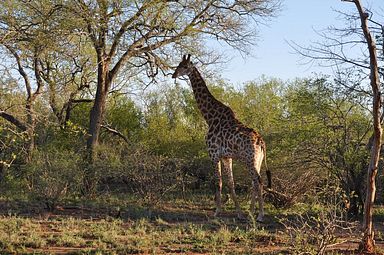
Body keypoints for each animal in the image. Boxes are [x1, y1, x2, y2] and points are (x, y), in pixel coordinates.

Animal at [172, 54, 272, 222]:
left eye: (184, 66)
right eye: (178, 64)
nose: (173, 74)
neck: (209, 117)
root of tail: (261, 141)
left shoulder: (213, 154)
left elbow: (217, 182)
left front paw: (217, 212)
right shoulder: (226, 157)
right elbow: (231, 183)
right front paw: (239, 213)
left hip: (249, 159)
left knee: (258, 181)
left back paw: (260, 215)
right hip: (257, 160)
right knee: (254, 182)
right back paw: (251, 213)